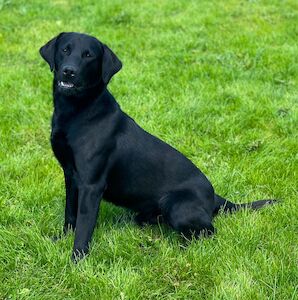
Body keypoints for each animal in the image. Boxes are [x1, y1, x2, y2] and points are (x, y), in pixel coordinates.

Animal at [39, 32, 278, 260]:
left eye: (89, 55)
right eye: (65, 50)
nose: (68, 71)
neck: (77, 113)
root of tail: (214, 197)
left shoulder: (91, 185)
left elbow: (84, 225)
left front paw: (78, 258)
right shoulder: (71, 176)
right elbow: (70, 213)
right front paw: (61, 239)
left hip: (174, 204)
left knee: (208, 231)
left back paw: (181, 248)